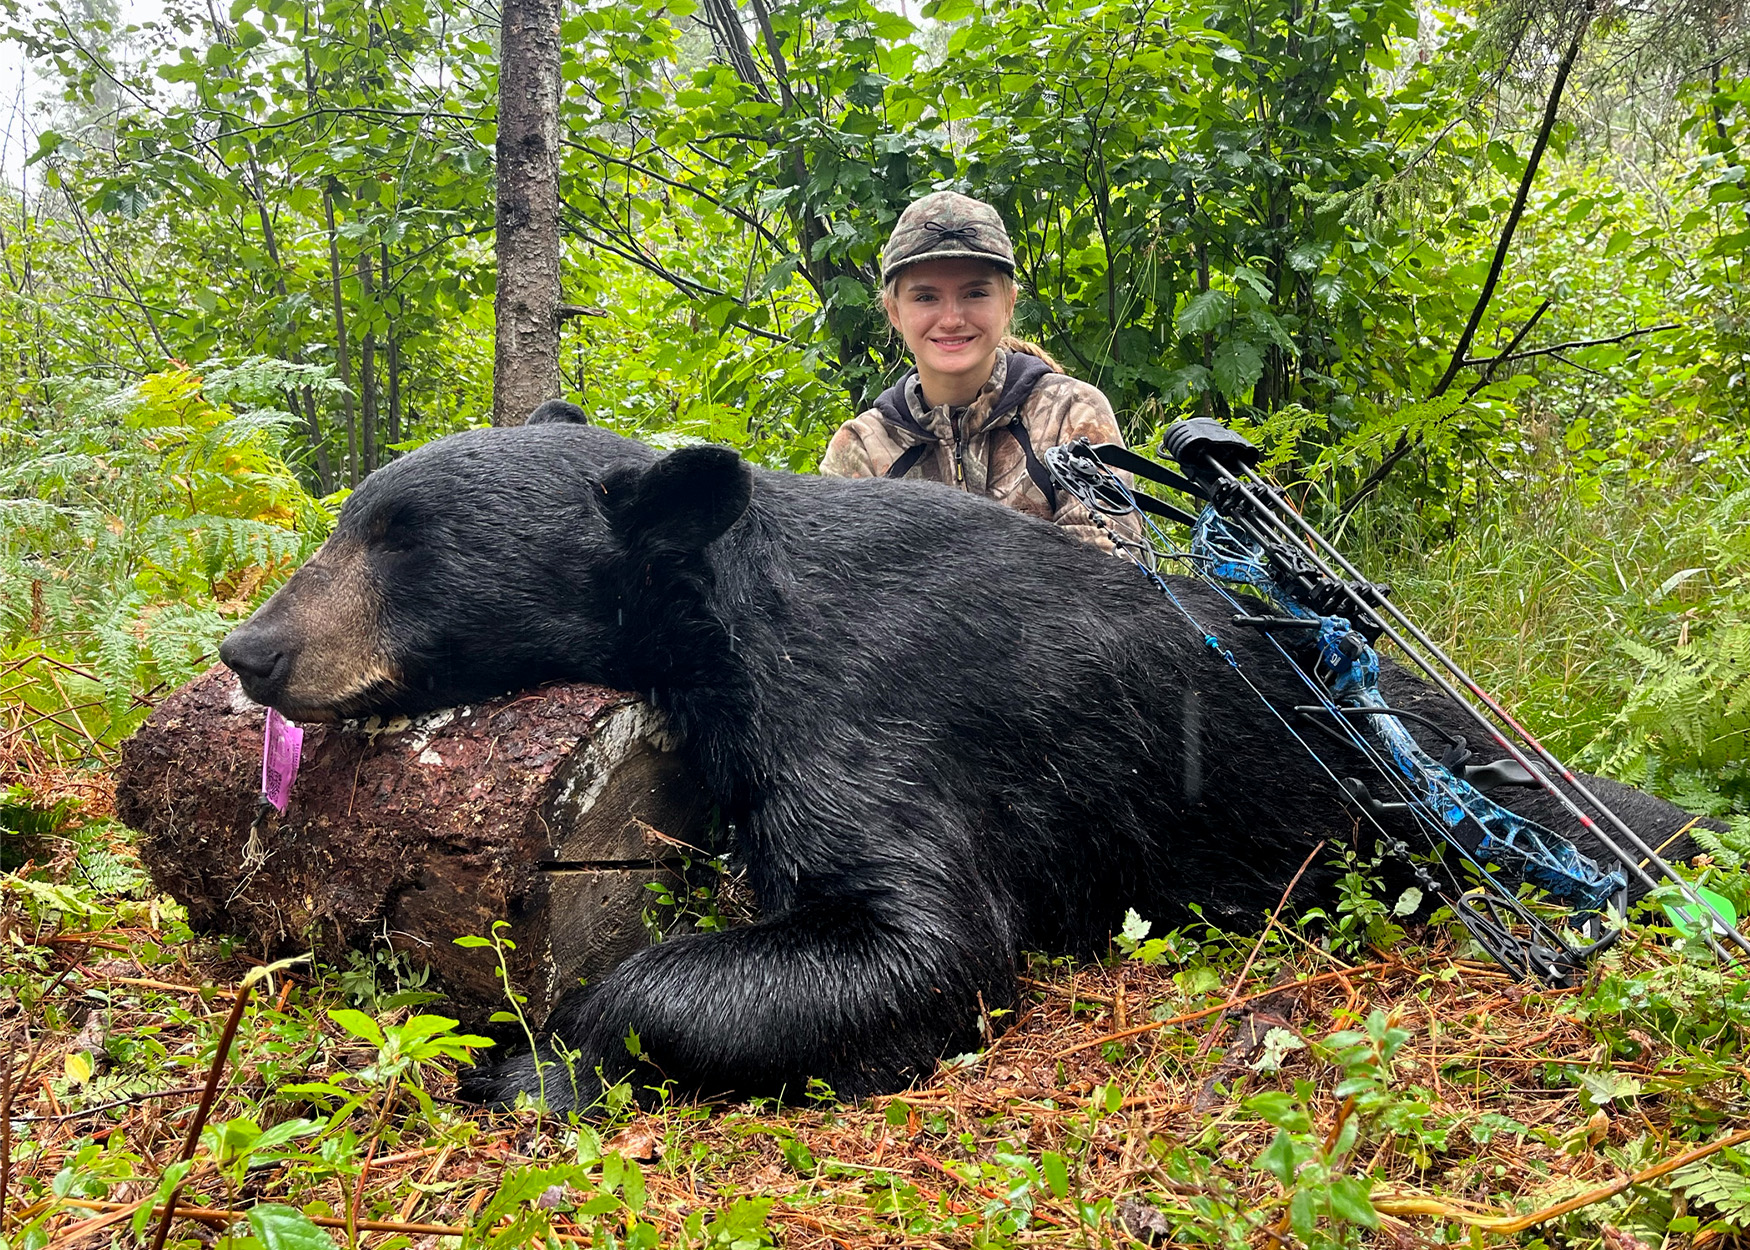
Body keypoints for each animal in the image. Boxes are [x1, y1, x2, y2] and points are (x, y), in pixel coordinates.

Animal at [218, 423, 1708, 1106]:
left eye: (407, 544)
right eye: (350, 516)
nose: (250, 645)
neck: (732, 614)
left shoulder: (873, 716)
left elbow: (929, 945)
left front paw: (535, 1059)